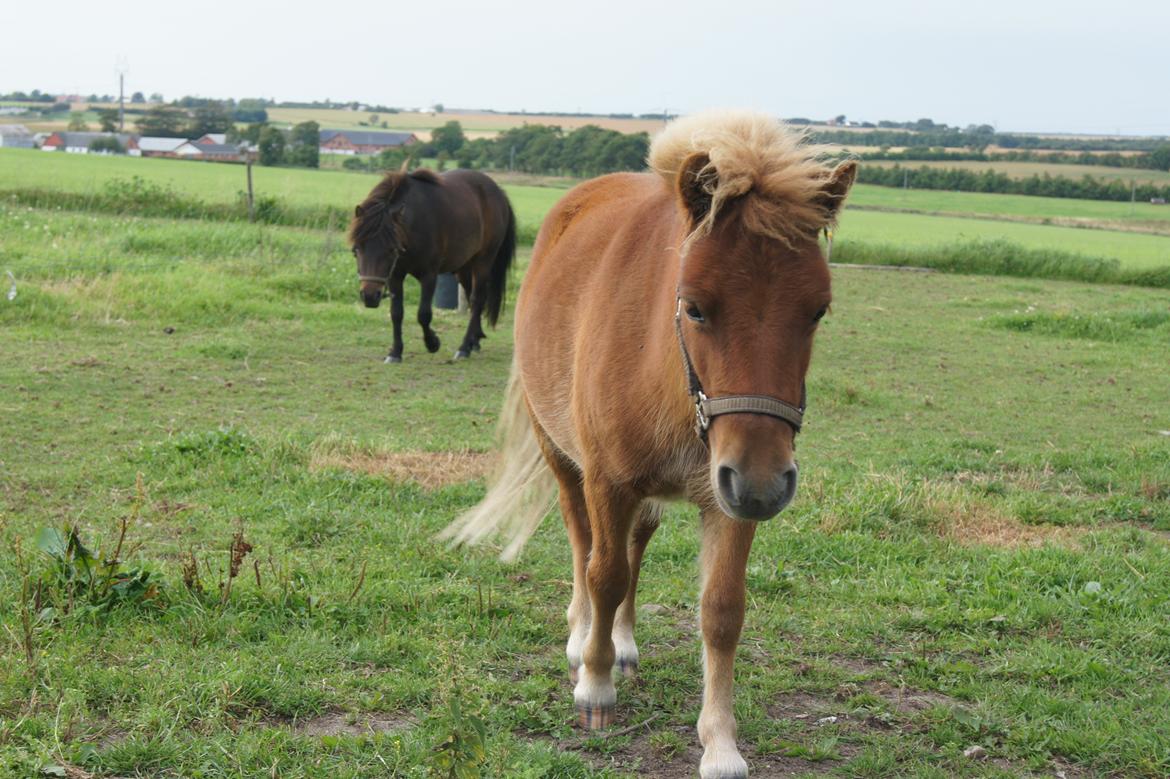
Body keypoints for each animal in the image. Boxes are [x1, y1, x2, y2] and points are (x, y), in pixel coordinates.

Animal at [346, 167, 512, 360]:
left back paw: (464, 348)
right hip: (463, 267)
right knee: (473, 298)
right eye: (356, 250)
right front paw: (395, 352)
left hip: (483, 261)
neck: (413, 224)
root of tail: (498, 192)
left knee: (477, 299)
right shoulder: (395, 276)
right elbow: (396, 313)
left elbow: (424, 314)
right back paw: (474, 341)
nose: (370, 296)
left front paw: (432, 343)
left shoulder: (429, 275)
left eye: (391, 250)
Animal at [442, 110, 856, 776]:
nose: (764, 484)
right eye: (695, 307)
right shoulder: (609, 481)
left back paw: (623, 642)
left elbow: (721, 611)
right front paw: (594, 684)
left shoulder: (726, 499)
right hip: (565, 460)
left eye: (818, 310)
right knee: (583, 542)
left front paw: (720, 743)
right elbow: (604, 573)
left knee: (636, 545)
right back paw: (583, 635)